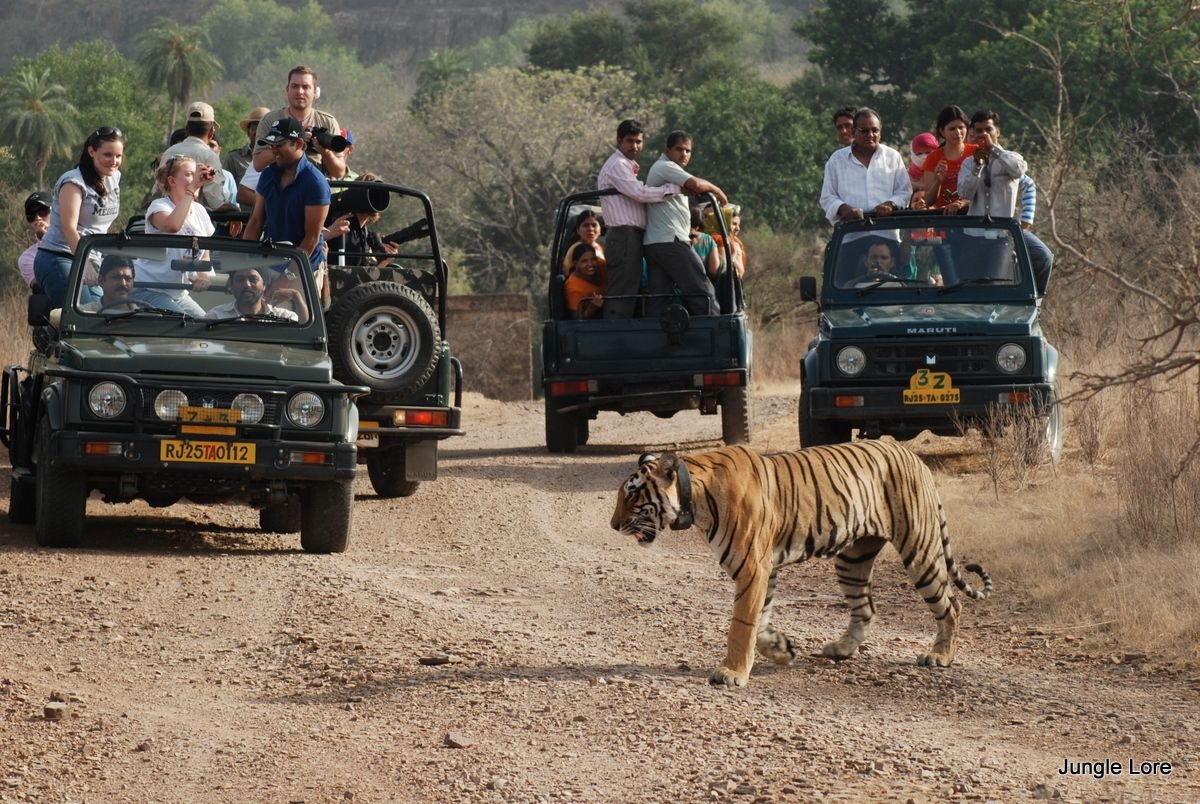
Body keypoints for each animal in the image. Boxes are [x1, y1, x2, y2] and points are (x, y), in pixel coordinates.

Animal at [610, 440, 992, 687]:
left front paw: (732, 673)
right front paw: (781, 651)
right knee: (866, 608)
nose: (613, 526)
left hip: (919, 548)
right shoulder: (764, 570)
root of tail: (912, 455)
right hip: (852, 558)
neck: (695, 498)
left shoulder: (753, 567)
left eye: (633, 494)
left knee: (951, 604)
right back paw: (841, 649)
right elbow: (760, 622)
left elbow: (742, 624)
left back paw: (940, 656)